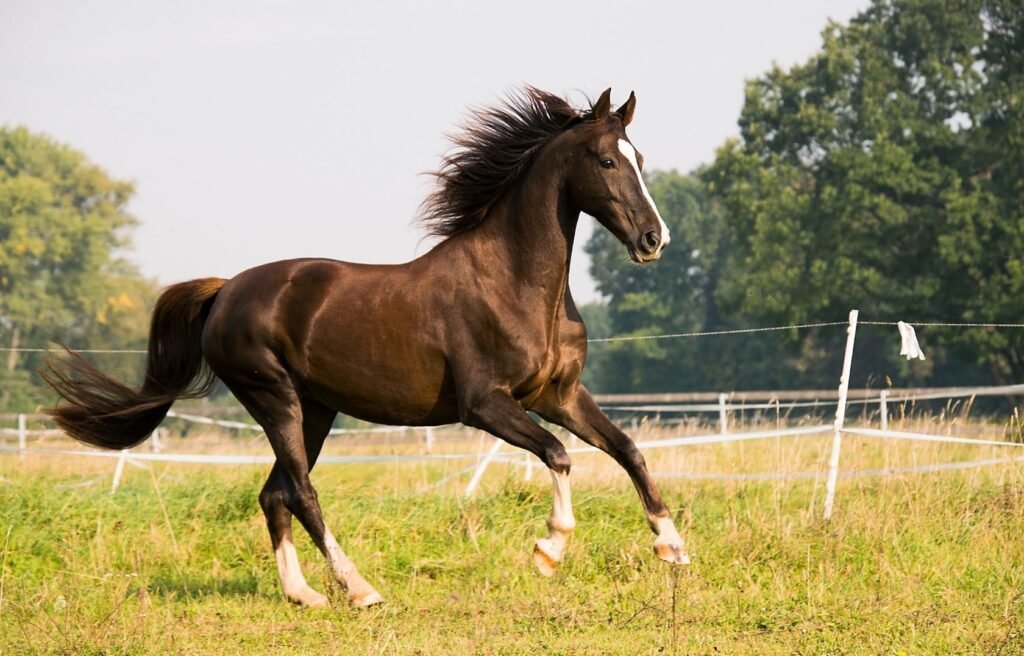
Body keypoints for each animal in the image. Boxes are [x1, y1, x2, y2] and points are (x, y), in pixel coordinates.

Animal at [43, 87, 689, 608]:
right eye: (607, 160)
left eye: (639, 158)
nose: (653, 240)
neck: (515, 284)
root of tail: (226, 290)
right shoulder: (486, 405)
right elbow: (558, 454)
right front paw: (549, 550)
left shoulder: (559, 395)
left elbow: (628, 449)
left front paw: (673, 546)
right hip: (274, 399)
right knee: (301, 492)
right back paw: (360, 589)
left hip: (316, 410)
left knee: (273, 494)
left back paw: (304, 595)